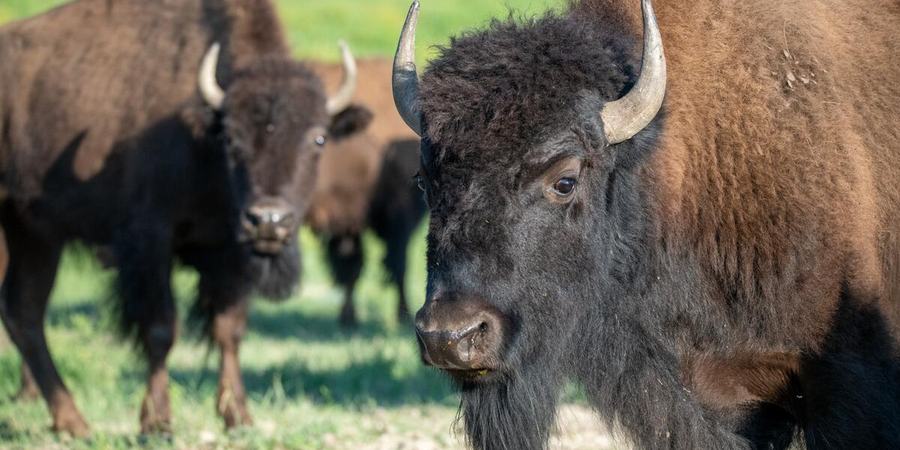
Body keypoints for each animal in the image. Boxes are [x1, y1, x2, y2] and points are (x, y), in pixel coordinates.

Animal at [0, 0, 358, 435]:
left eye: (319, 137)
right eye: (231, 138)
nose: (269, 221)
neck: (202, 140)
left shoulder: (228, 251)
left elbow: (229, 329)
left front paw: (238, 416)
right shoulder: (150, 243)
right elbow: (160, 328)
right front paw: (156, 422)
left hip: (34, 234)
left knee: (23, 310)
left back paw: (72, 423)